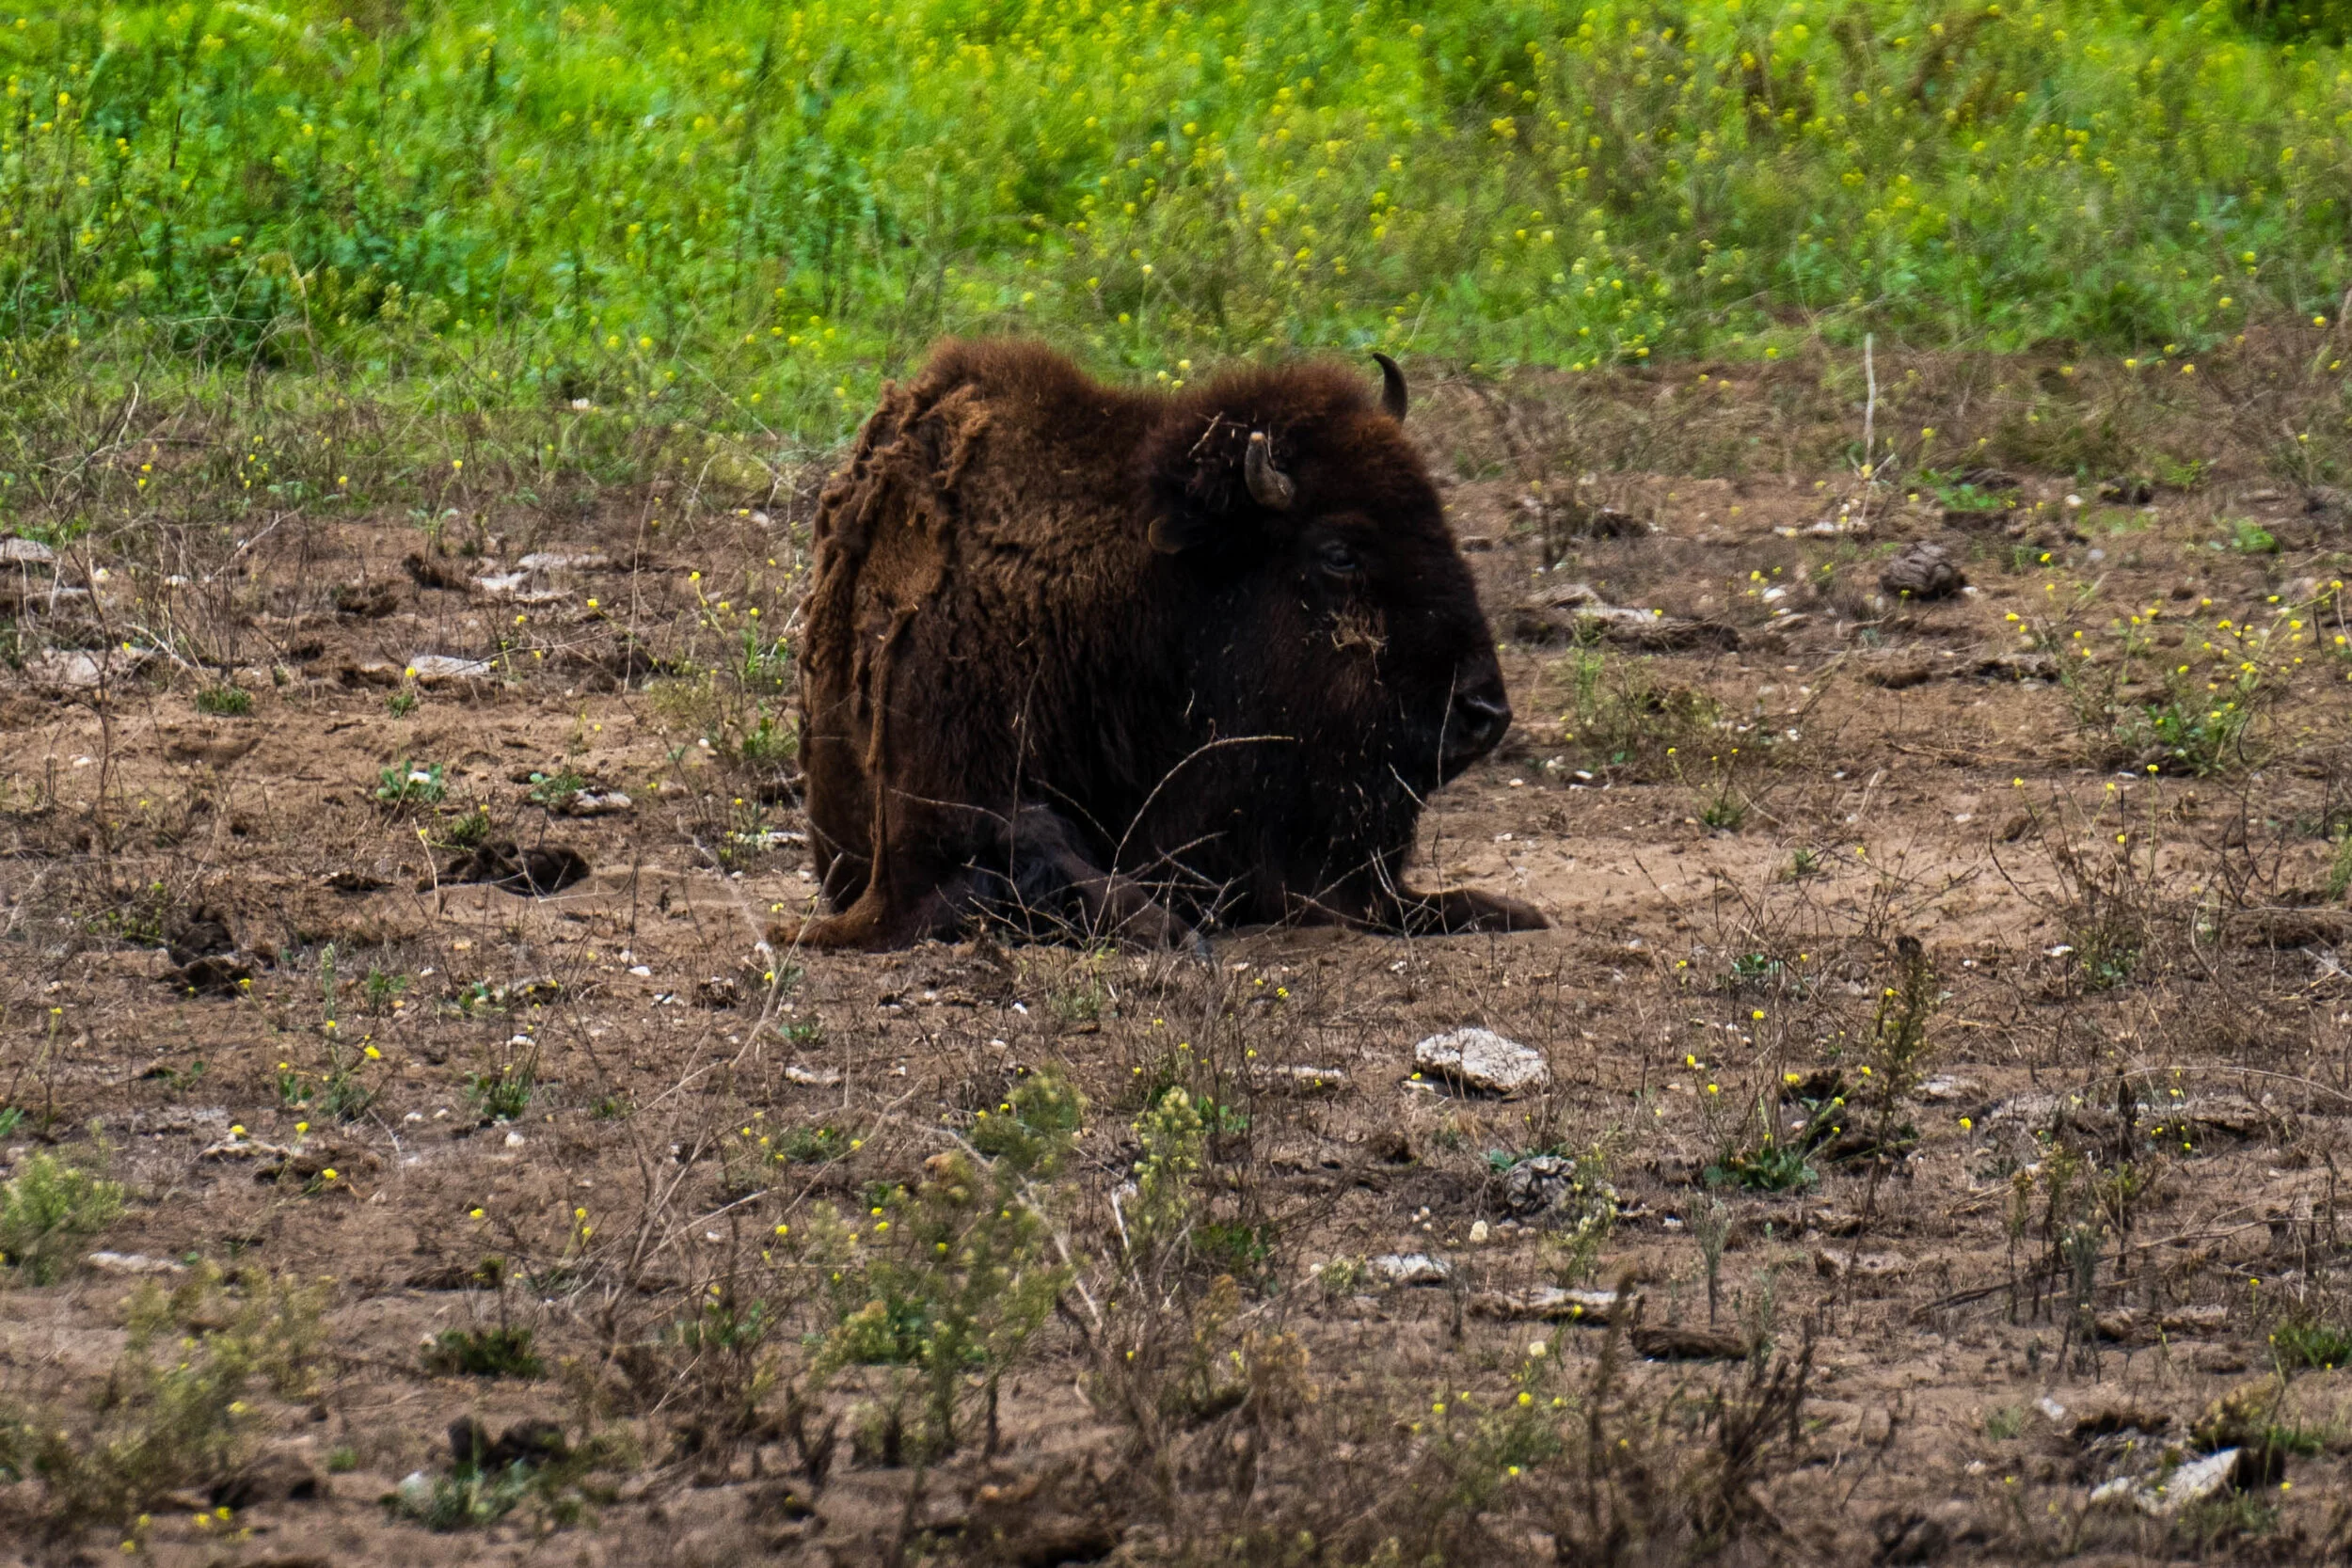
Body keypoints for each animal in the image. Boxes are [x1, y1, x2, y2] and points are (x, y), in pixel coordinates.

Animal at [780, 339, 1545, 951]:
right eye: (1339, 553)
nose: (1483, 712)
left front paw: (1514, 910)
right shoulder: (936, 823)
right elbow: (1047, 857)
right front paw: (1174, 932)